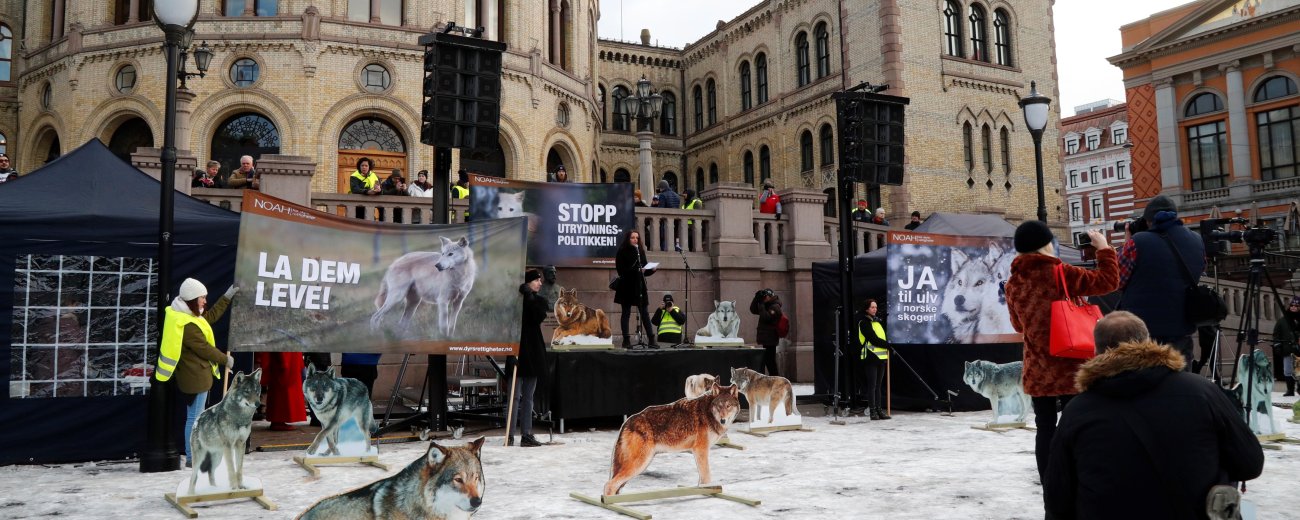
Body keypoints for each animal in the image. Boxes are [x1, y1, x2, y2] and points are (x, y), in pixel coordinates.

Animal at [603, 382, 740, 496]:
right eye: (719, 406)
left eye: (728, 406)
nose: (723, 420)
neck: (708, 412)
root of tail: (626, 422)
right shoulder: (701, 450)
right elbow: (707, 478)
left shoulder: (699, 453)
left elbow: (702, 479)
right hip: (639, 463)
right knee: (609, 485)